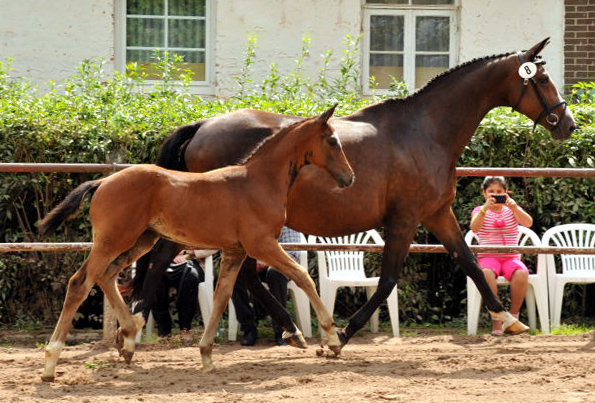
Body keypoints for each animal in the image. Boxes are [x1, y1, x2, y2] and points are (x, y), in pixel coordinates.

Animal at [39, 105, 354, 382]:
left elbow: (222, 296)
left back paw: (127, 337)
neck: (257, 181)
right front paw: (332, 338)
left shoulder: (235, 251)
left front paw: (206, 355)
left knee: (106, 276)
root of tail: (102, 182)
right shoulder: (262, 244)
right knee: (80, 283)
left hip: (140, 240)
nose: (349, 177)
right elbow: (303, 277)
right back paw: (51, 364)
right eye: (332, 140)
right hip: (113, 240)